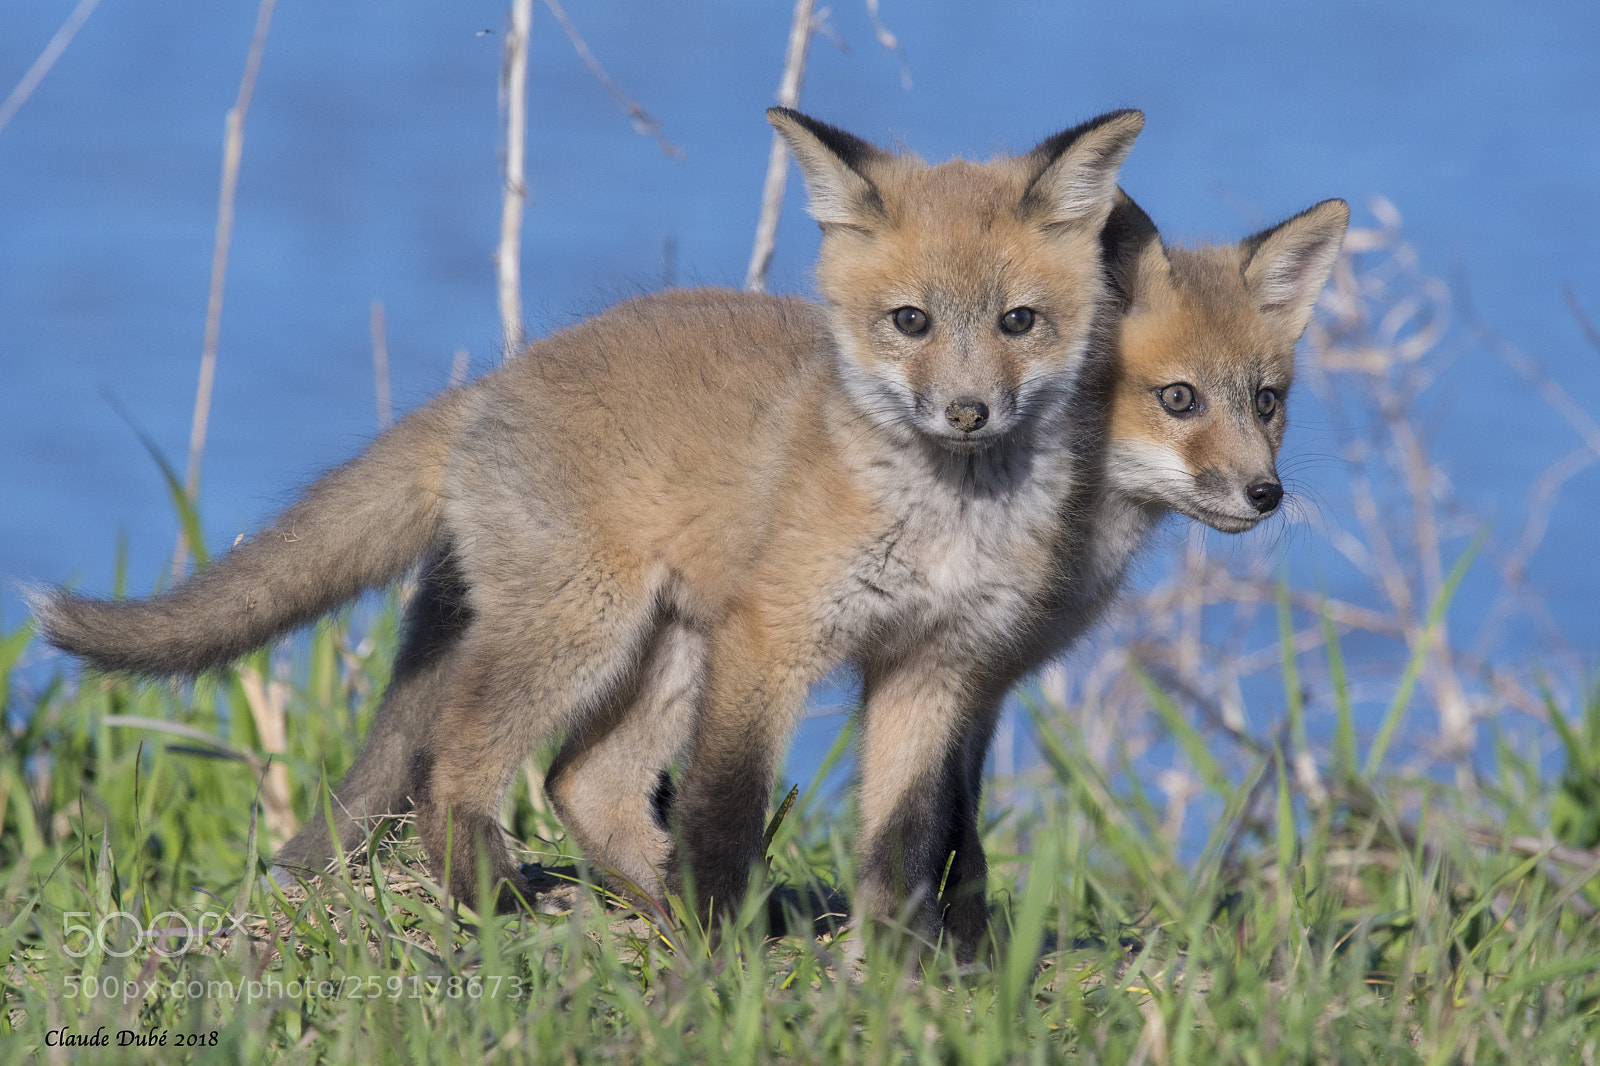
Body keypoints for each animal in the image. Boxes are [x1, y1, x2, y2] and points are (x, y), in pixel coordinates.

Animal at [30, 107, 1147, 936]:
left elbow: (908, 840)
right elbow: (727, 809)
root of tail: (497, 379)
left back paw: (657, 899)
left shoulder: (935, 665)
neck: (942, 519)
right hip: (586, 629)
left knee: (583, 782)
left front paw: (896, 962)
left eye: (1018, 322)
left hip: (662, 648)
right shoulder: (773, 640)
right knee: (452, 759)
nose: (968, 413)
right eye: (909, 321)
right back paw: (501, 897)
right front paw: (726, 958)